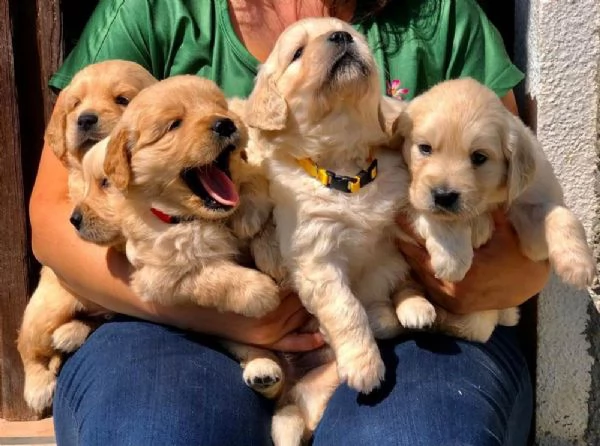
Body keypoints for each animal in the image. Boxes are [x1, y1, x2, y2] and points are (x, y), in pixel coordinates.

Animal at [394, 77, 596, 342]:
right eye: (425, 148)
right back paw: (416, 309)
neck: (487, 202)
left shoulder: (528, 219)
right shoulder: (403, 199)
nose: (443, 196)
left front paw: (578, 265)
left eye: (479, 157)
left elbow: (561, 215)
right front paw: (452, 259)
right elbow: (440, 218)